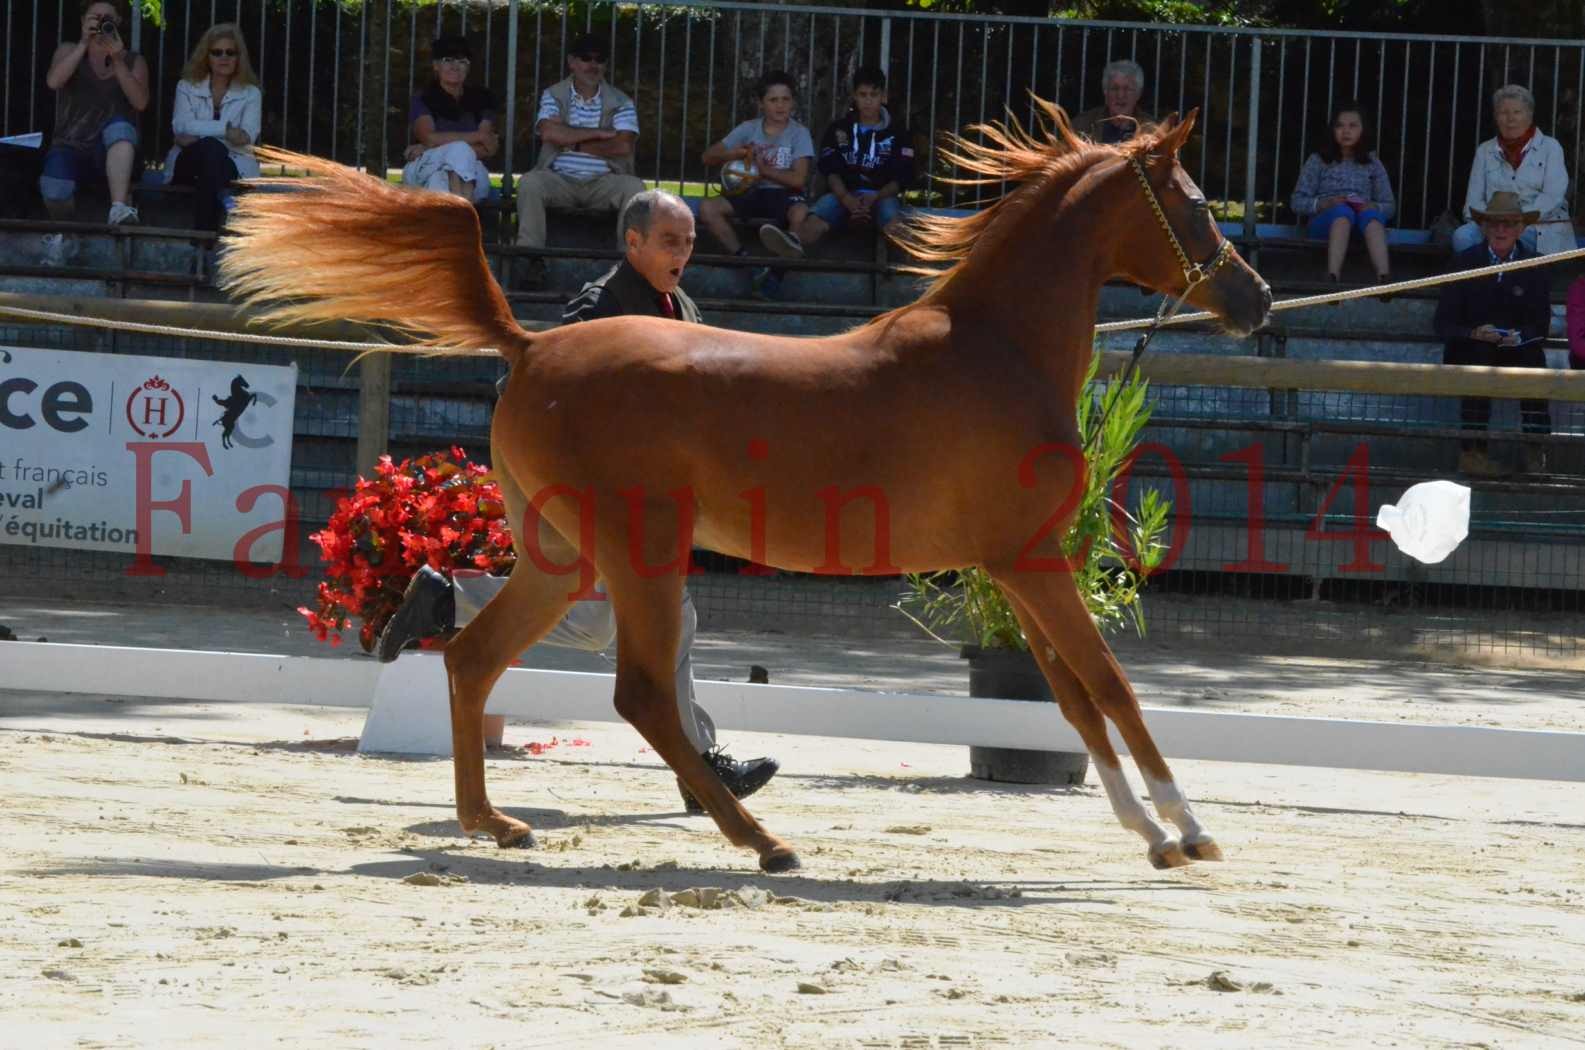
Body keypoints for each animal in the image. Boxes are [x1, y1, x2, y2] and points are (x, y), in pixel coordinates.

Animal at [223, 103, 1268, 875]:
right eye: (1190, 202)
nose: (1253, 298)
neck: (993, 352)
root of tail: (528, 347)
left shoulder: (1015, 569)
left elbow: (1075, 701)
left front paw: (1149, 836)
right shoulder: (1032, 559)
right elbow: (1113, 687)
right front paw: (1189, 831)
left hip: (561, 560)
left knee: (476, 656)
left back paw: (497, 823)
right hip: (639, 554)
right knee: (641, 694)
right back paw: (763, 843)